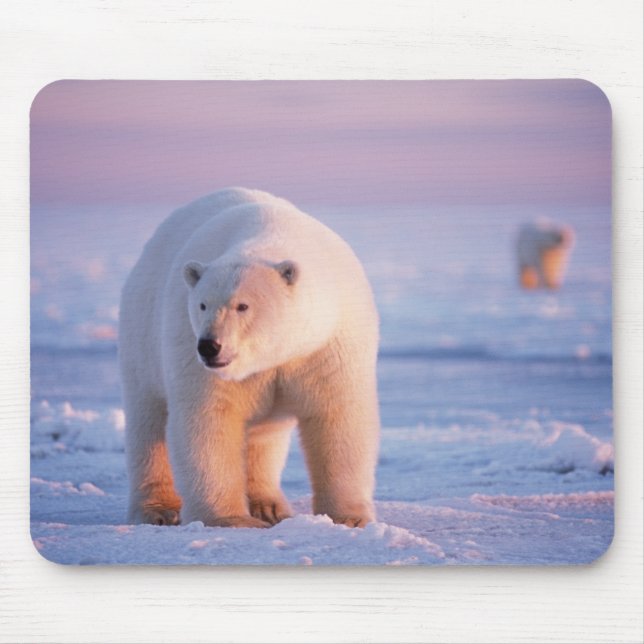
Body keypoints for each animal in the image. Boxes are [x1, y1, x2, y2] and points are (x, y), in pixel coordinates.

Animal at [119, 188, 380, 529]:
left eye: (242, 305)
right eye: (202, 304)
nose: (209, 346)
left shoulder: (327, 344)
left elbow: (338, 414)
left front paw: (349, 518)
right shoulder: (189, 343)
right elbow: (209, 418)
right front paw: (230, 519)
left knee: (263, 435)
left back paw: (268, 505)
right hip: (141, 336)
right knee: (148, 421)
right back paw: (158, 510)